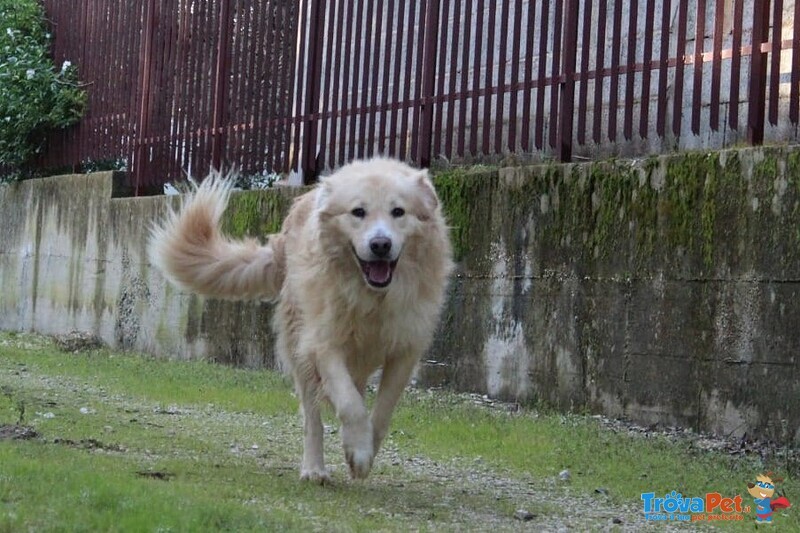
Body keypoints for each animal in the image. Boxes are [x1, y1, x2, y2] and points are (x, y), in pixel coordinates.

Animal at [150, 158, 450, 482]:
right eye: (358, 212)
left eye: (398, 212)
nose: (380, 244)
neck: (371, 296)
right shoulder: (323, 343)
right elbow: (350, 405)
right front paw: (358, 450)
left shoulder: (405, 349)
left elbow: (382, 411)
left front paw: (363, 450)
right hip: (299, 347)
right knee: (312, 416)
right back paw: (314, 468)